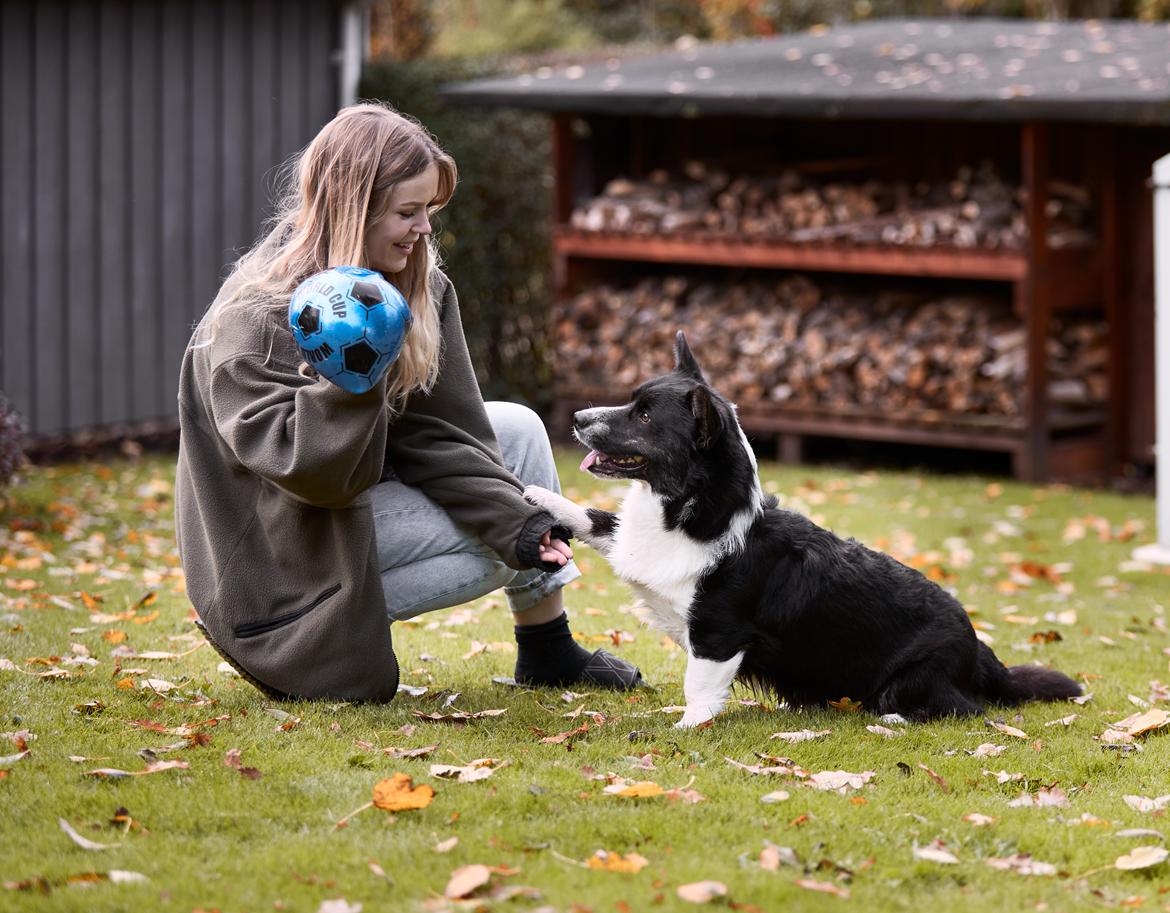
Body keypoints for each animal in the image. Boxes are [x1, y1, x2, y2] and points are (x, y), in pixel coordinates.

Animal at [528, 332, 1076, 725]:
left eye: (643, 417)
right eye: (631, 403)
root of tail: (981, 652)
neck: (692, 512)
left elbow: (699, 691)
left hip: (914, 681)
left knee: (960, 709)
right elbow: (593, 517)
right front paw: (534, 495)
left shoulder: (716, 636)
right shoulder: (627, 539)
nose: (576, 417)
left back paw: (895, 719)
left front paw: (684, 730)